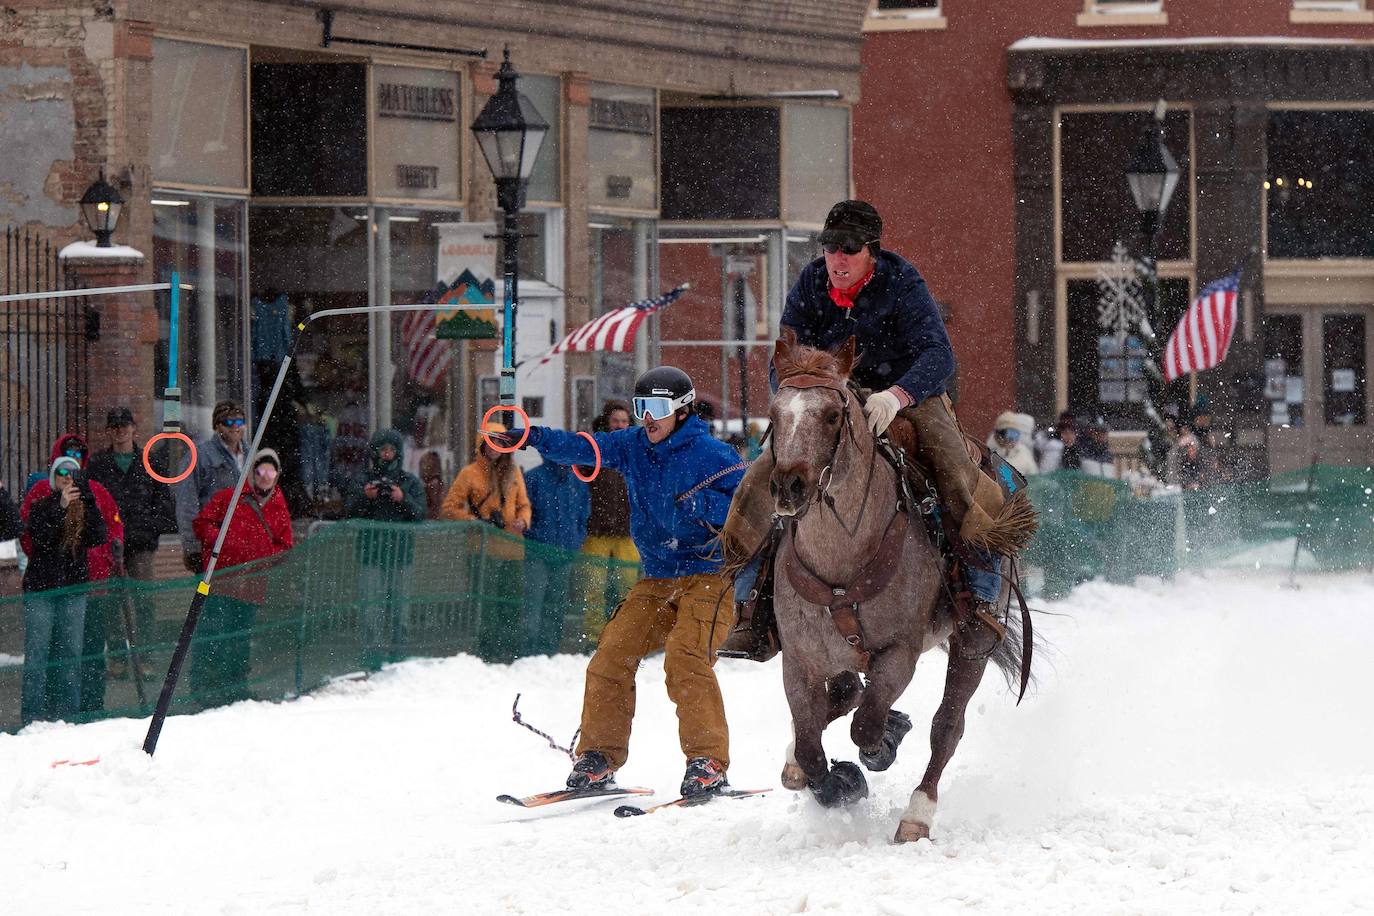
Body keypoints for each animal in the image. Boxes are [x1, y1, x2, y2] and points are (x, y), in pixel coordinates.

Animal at [769, 330, 1027, 845]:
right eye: (775, 413)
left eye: (831, 415)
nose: (789, 486)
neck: (842, 559)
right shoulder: (800, 659)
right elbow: (810, 750)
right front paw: (829, 779)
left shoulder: (898, 652)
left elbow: (866, 729)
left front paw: (882, 744)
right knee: (845, 696)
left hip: (972, 641)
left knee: (946, 726)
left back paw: (917, 813)